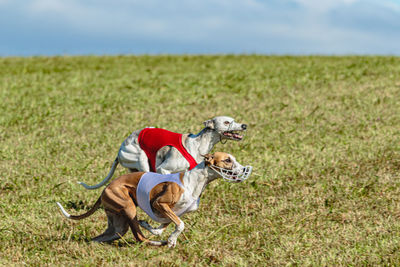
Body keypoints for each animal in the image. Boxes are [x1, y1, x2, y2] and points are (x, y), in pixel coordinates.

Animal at [57, 153, 250, 249]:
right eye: (227, 160)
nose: (244, 170)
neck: (195, 181)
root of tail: (106, 188)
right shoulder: (160, 204)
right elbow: (180, 225)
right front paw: (170, 240)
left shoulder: (172, 212)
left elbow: (164, 227)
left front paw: (161, 233)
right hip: (129, 208)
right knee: (139, 237)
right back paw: (159, 244)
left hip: (118, 223)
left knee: (105, 236)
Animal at [78, 116, 247, 191]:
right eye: (226, 122)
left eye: (233, 119)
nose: (244, 125)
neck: (198, 144)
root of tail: (120, 150)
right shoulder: (163, 168)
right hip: (141, 159)